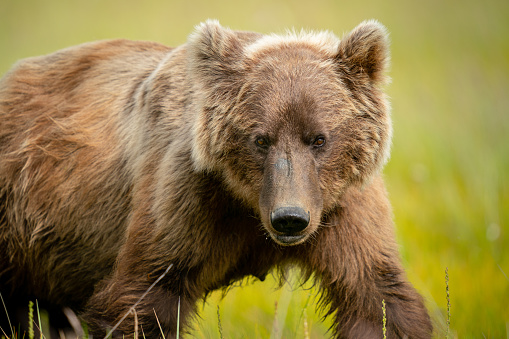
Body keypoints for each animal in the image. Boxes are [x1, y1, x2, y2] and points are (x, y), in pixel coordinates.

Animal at [0, 19, 432, 338]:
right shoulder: (187, 197)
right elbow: (143, 296)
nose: (290, 218)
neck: (248, 208)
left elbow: (376, 297)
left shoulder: (340, 205)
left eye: (319, 138)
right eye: (260, 139)